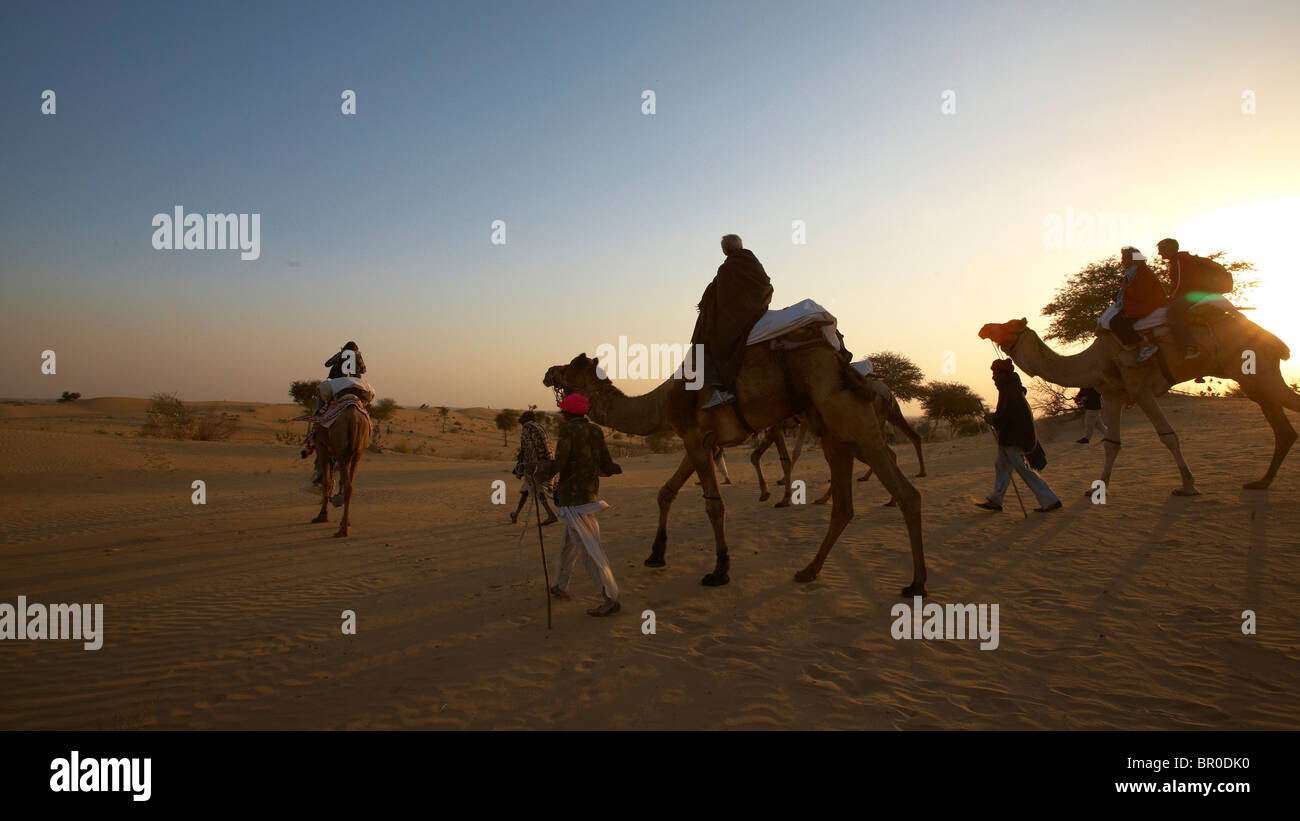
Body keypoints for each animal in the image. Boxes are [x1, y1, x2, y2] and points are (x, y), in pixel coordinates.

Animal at [304, 405, 366, 537]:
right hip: (357, 452)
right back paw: (345, 523)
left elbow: (326, 481)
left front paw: (321, 516)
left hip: (341, 450)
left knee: (347, 485)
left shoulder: (322, 446)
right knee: (350, 485)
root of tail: (353, 418)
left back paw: (342, 530)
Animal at [543, 329, 930, 592]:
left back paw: (916, 584)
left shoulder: (696, 439)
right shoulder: (700, 442)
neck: (662, 403)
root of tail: (847, 366)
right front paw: (656, 554)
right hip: (838, 434)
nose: (548, 372)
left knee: (905, 491)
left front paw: (719, 569)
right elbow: (666, 492)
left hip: (851, 421)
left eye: (572, 365)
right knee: (846, 504)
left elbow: (714, 506)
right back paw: (809, 570)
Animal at [977, 301, 1294, 493]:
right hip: (1254, 379)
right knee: (1284, 428)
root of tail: (1273, 339)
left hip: (1256, 372)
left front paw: (1188, 485)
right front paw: (1097, 487)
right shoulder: (1113, 395)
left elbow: (1168, 436)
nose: (984, 328)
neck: (1097, 360)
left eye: (1009, 325)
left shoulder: (1141, 389)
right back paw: (1262, 482)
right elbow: (1111, 444)